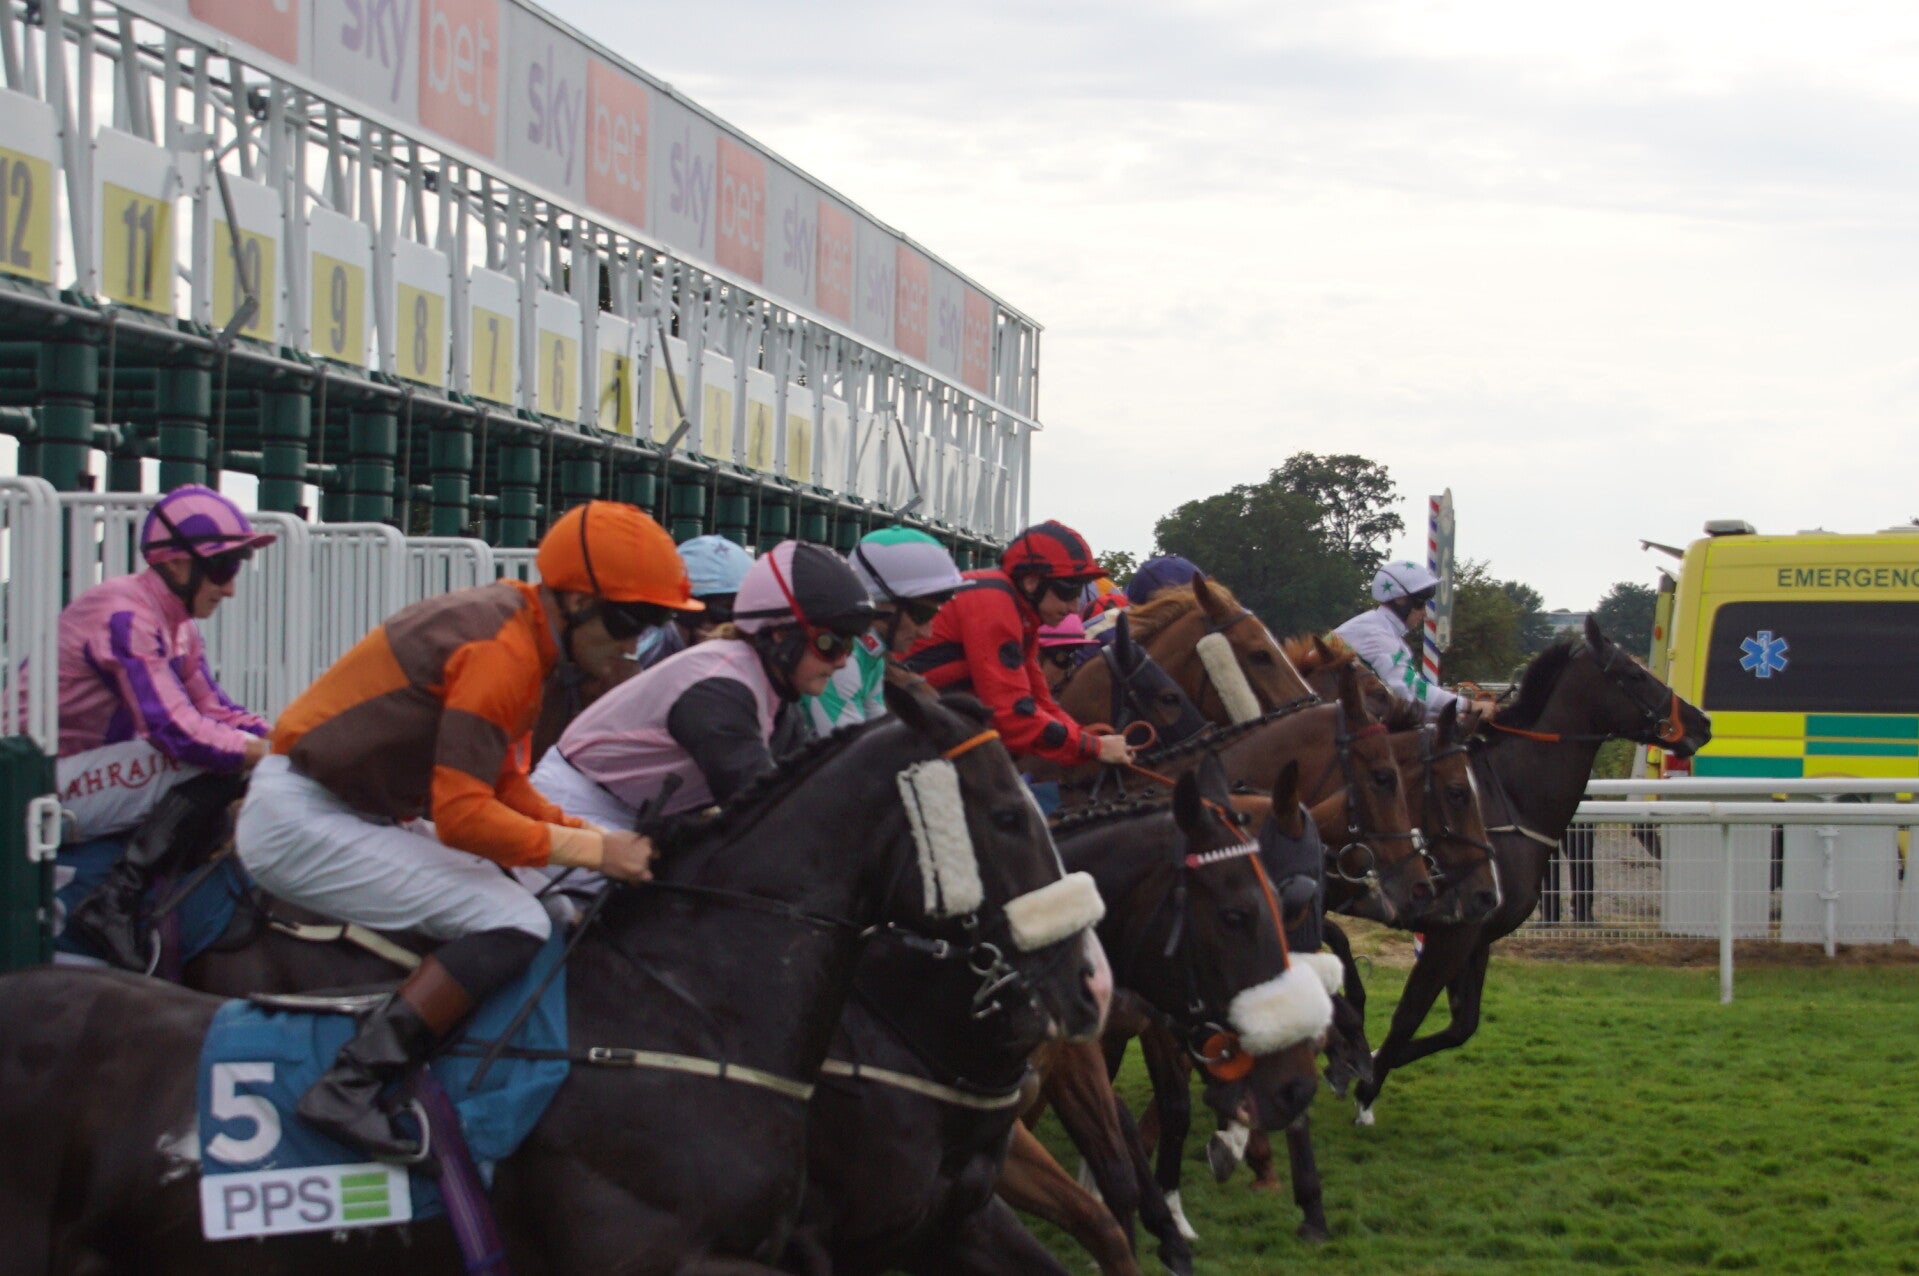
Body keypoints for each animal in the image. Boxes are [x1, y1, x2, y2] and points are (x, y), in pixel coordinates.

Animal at [1351, 616, 1710, 1123]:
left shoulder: (1477, 933)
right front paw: (1364, 1089)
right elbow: (1407, 1015)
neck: (1507, 802)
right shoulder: (1451, 932)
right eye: (1635, 675)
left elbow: (1461, 1026)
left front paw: (1364, 1061)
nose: (1702, 721)